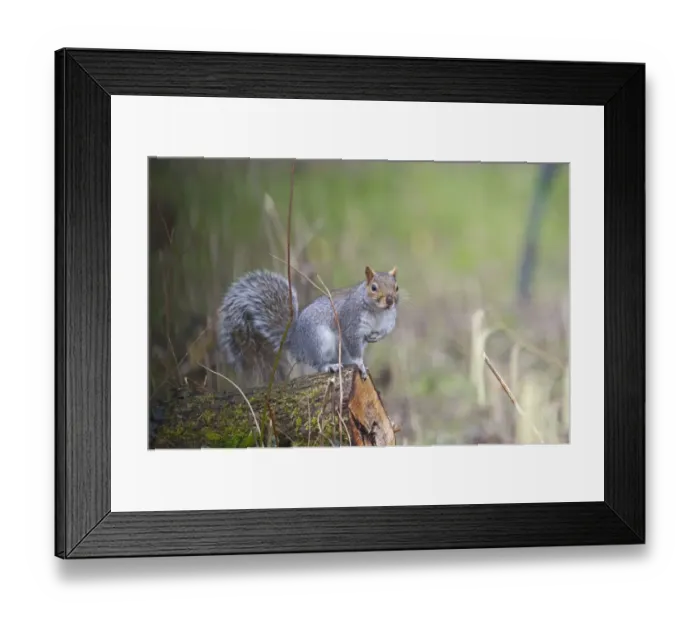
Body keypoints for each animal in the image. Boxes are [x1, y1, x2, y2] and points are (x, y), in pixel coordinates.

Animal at [217, 265, 399, 382]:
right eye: (373, 288)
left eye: (396, 287)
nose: (390, 300)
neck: (378, 312)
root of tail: (296, 342)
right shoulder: (350, 321)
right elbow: (353, 343)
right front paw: (360, 364)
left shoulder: (389, 320)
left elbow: (386, 331)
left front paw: (375, 337)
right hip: (319, 341)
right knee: (317, 364)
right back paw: (330, 366)